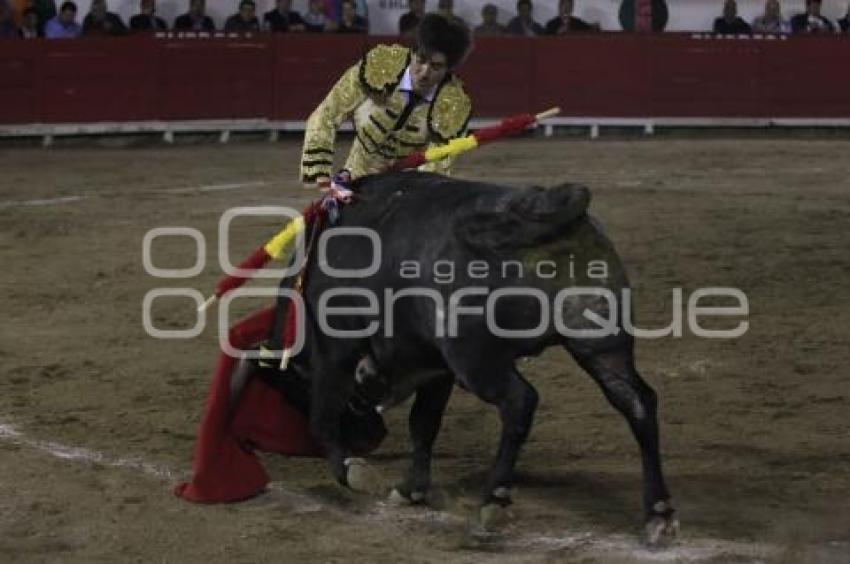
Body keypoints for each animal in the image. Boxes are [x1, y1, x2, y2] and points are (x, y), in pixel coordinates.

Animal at [255, 172, 672, 540]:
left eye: (295, 388)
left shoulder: (336, 350)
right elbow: (423, 424)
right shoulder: (436, 367)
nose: (371, 436)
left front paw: (353, 471)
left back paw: (494, 499)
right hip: (601, 343)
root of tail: (535, 209)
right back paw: (659, 514)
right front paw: (411, 488)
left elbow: (322, 417)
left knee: (520, 401)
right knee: (637, 402)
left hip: (476, 361)